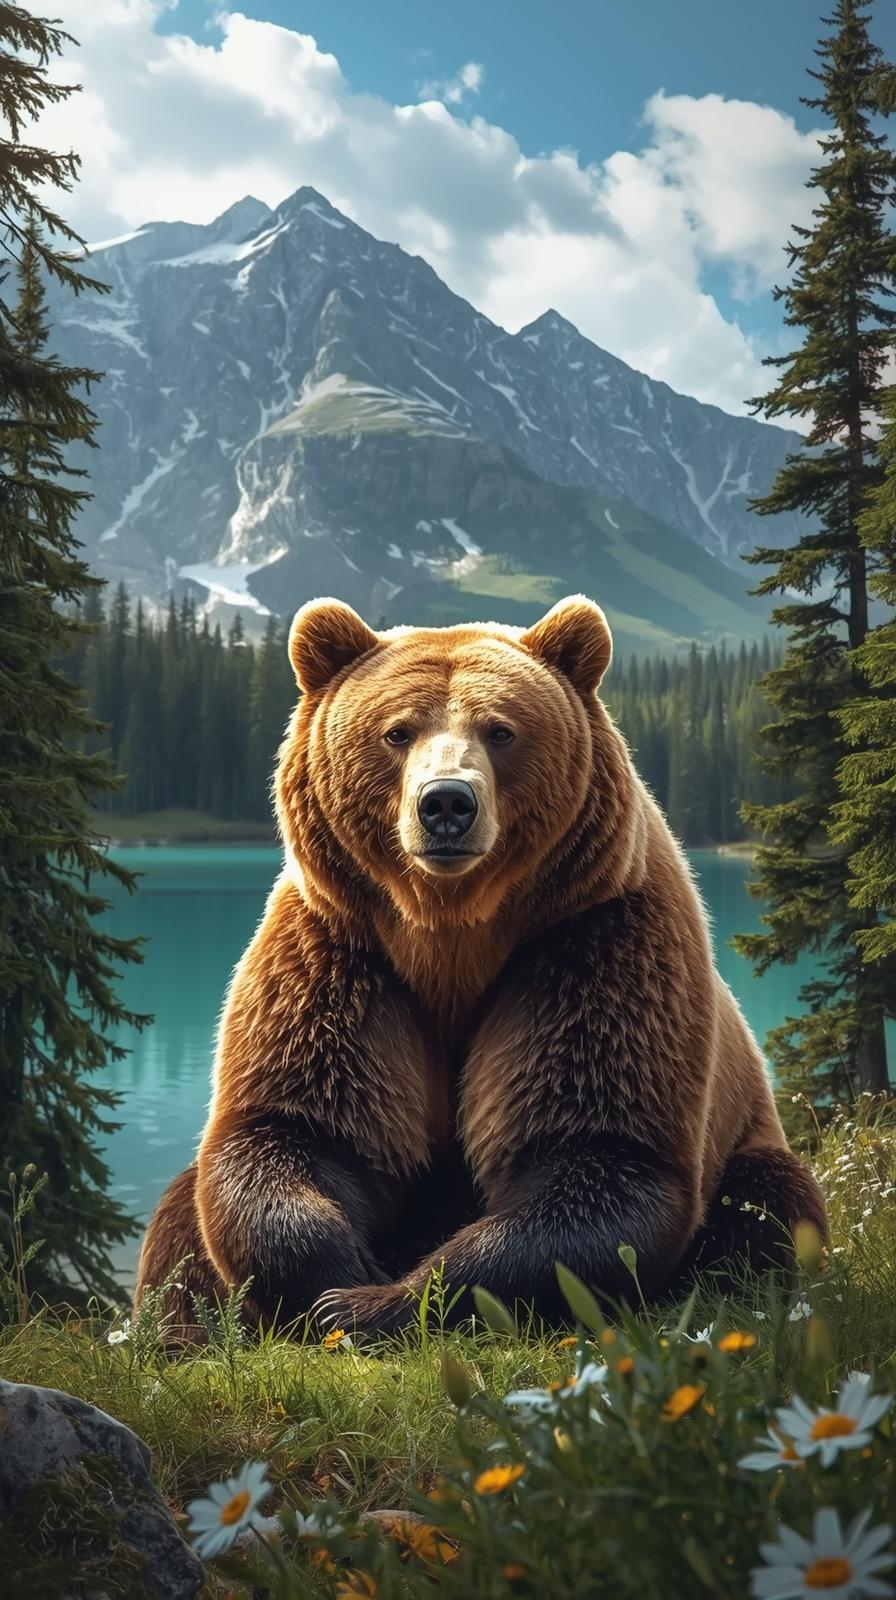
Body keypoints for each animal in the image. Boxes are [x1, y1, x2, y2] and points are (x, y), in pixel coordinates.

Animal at [135, 594, 827, 1337]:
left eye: (501, 730)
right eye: (397, 731)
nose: (445, 803)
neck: (451, 935)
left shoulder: (593, 946)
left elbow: (601, 1155)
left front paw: (379, 1302)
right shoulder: (338, 956)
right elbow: (295, 1130)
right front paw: (334, 1281)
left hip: (745, 1142)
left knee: (767, 1207)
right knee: (177, 1222)